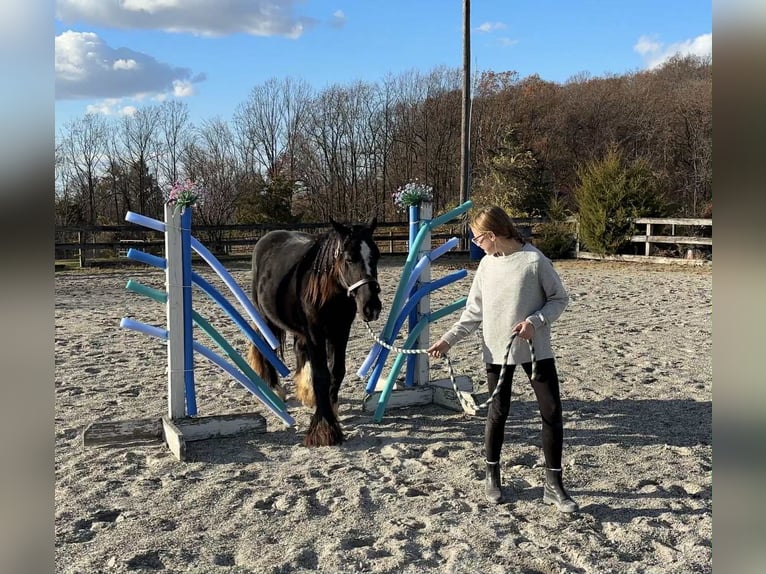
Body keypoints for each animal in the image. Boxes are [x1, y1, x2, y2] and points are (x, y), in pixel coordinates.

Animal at [246, 217, 382, 446]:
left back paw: (306, 391)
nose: (371, 307)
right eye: (349, 258)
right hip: (266, 318)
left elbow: (337, 371)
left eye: (377, 255)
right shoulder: (315, 333)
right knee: (267, 347)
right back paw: (275, 389)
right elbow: (321, 374)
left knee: (298, 350)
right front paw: (324, 428)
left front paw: (331, 409)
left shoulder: (340, 331)